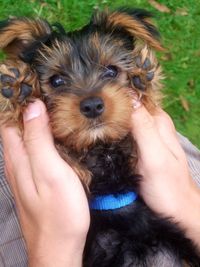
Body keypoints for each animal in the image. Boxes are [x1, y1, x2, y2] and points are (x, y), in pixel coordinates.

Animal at [0, 7, 199, 266]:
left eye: (111, 71)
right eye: (56, 80)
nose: (92, 105)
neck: (100, 148)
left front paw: (143, 77)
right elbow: (63, 149)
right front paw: (19, 89)